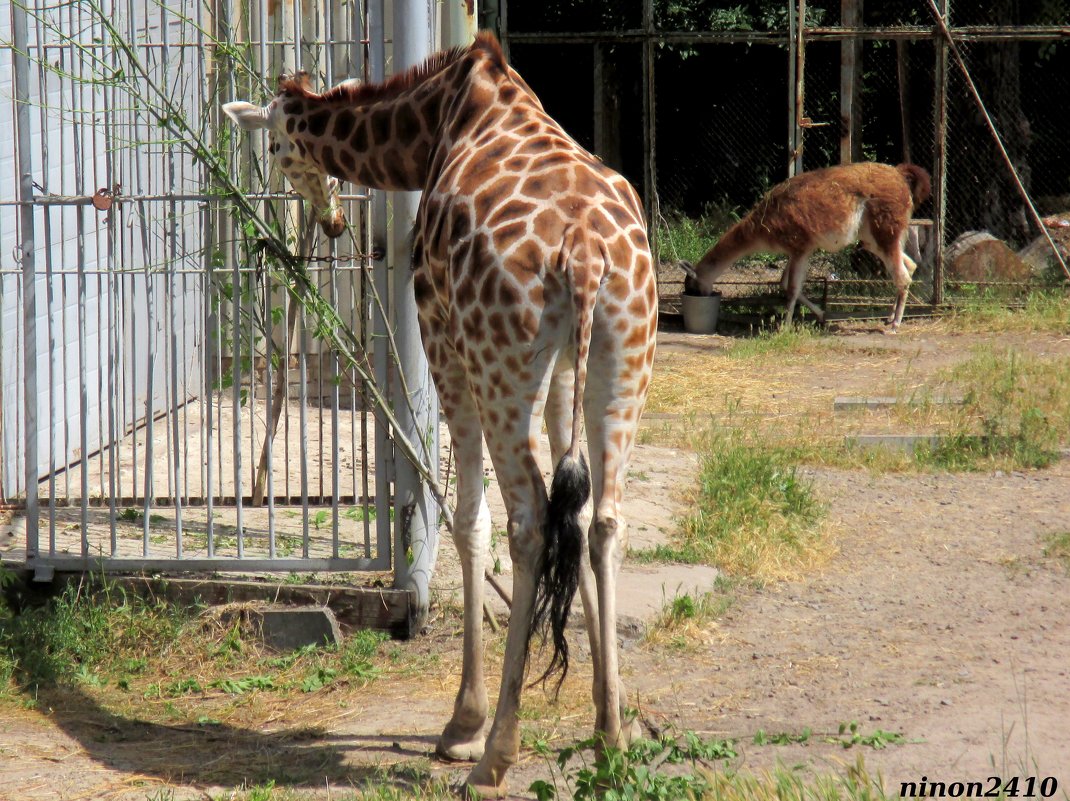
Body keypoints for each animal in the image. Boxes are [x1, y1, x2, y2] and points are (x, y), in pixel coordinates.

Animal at [223, 29, 659, 795]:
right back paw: (611, 741)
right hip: (624, 352)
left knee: (528, 521)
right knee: (603, 519)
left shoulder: (442, 342)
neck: (432, 122)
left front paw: (462, 724)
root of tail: (583, 253)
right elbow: (572, 518)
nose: (331, 221)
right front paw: (612, 713)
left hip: (496, 362)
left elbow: (467, 520)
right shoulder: (560, 371)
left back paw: (493, 754)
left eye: (275, 145)